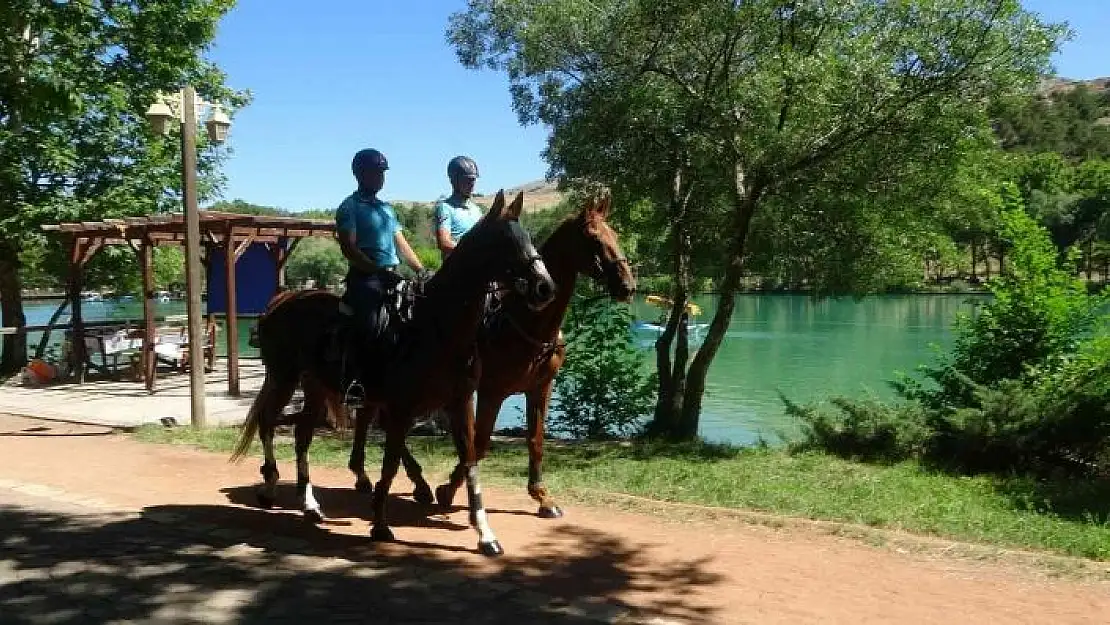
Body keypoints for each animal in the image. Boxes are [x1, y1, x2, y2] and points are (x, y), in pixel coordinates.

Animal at [230, 190, 555, 557]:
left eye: (528, 237)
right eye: (504, 241)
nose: (545, 287)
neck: (436, 328)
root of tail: (282, 300)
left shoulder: (459, 404)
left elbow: (470, 461)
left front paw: (485, 534)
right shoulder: (400, 408)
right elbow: (389, 464)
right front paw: (380, 523)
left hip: (314, 386)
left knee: (301, 434)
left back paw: (309, 504)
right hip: (284, 377)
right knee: (267, 421)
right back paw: (270, 484)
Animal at [346, 194, 643, 519]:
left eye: (615, 235)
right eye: (594, 238)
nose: (627, 286)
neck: (525, 323)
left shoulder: (540, 389)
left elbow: (535, 440)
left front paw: (542, 496)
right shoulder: (492, 391)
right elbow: (480, 442)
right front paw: (449, 489)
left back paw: (403, 480)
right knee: (378, 419)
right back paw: (380, 477)